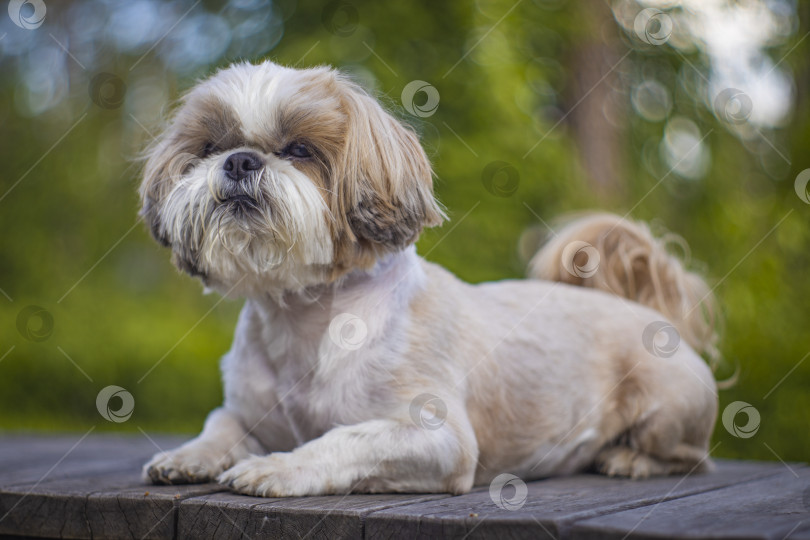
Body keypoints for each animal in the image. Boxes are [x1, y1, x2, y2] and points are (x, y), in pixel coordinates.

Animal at [140, 60, 720, 498]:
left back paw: (630, 460)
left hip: (667, 408)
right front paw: (190, 455)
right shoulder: (247, 410)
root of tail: (651, 315)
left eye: (300, 151)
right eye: (209, 149)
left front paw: (277, 467)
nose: (239, 161)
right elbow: (220, 425)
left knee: (691, 456)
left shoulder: (440, 440)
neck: (303, 316)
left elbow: (345, 440)